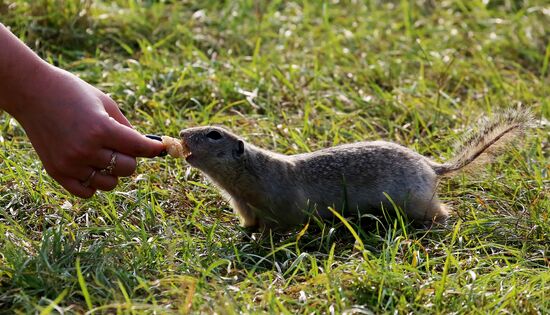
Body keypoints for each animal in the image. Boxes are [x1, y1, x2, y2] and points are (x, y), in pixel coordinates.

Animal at [169, 110, 536, 231]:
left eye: (214, 134)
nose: (183, 133)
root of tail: (432, 166)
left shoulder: (278, 204)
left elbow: (281, 227)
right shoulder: (245, 207)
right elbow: (249, 225)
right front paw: (243, 234)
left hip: (415, 201)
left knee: (441, 211)